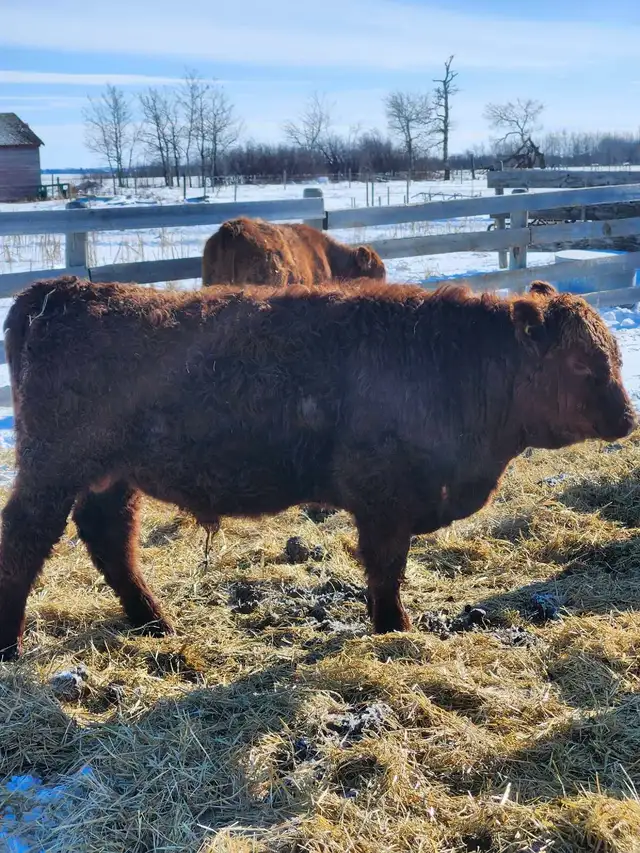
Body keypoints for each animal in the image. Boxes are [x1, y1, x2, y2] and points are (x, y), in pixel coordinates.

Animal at [0, 276, 634, 660]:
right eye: (583, 364)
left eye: (614, 357)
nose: (629, 418)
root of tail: (62, 291)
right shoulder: (383, 502)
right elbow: (386, 571)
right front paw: (395, 630)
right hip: (51, 468)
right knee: (25, 543)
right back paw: (12, 644)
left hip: (111, 477)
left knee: (111, 539)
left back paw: (154, 622)